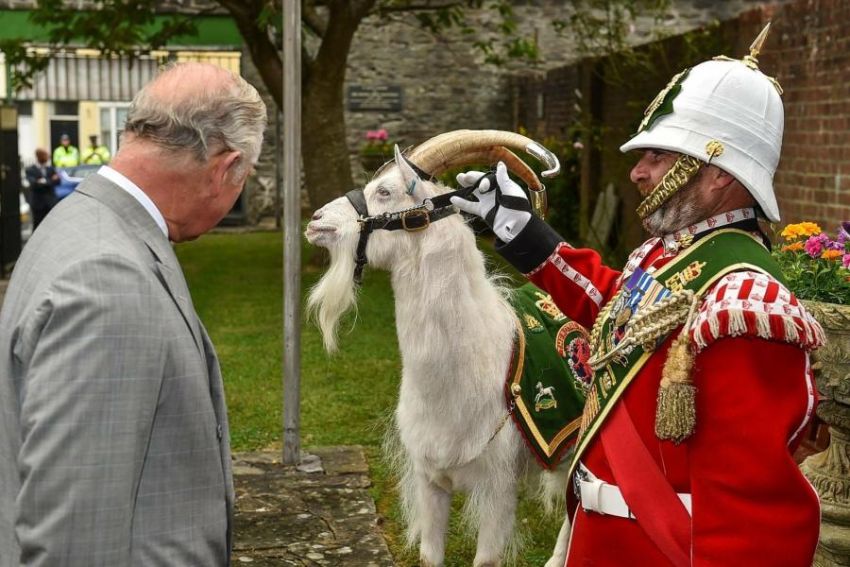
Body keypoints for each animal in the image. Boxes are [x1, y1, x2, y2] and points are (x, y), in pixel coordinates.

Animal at [304, 131, 568, 564]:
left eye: (385, 191)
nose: (315, 220)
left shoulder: (497, 489)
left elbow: (486, 558)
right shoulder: (430, 481)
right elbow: (430, 555)